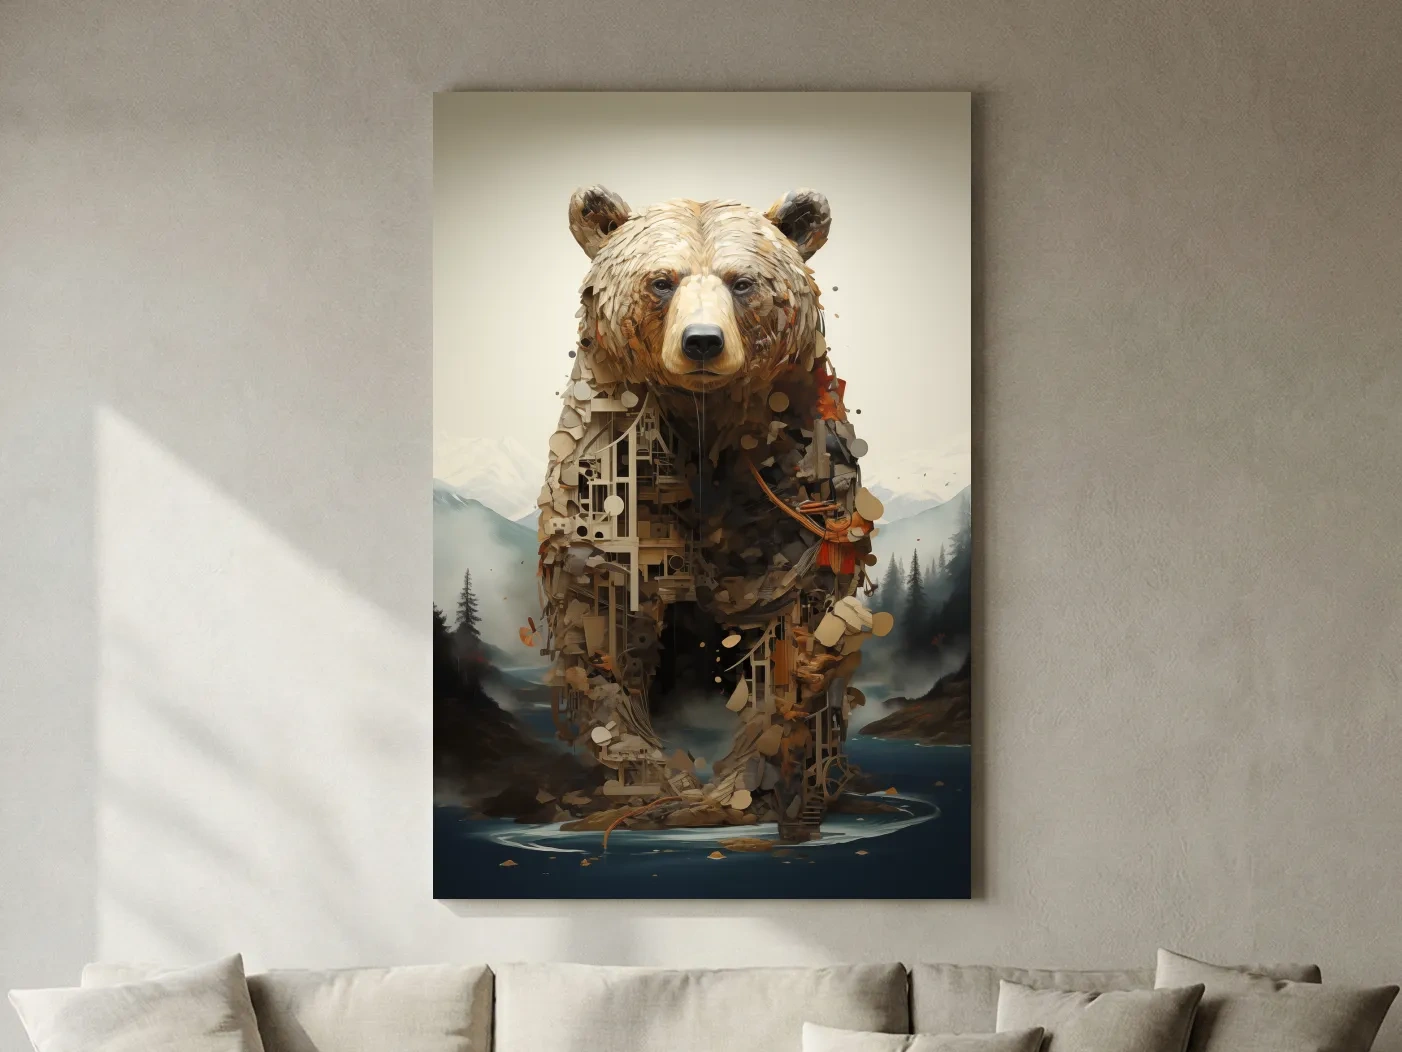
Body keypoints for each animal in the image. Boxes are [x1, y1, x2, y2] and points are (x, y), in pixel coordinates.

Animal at [530, 186, 893, 842]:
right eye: (662, 281)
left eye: (741, 281)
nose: (702, 341)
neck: (703, 426)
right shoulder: (611, 491)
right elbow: (604, 632)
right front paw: (656, 787)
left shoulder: (790, 490)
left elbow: (787, 634)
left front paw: (742, 787)